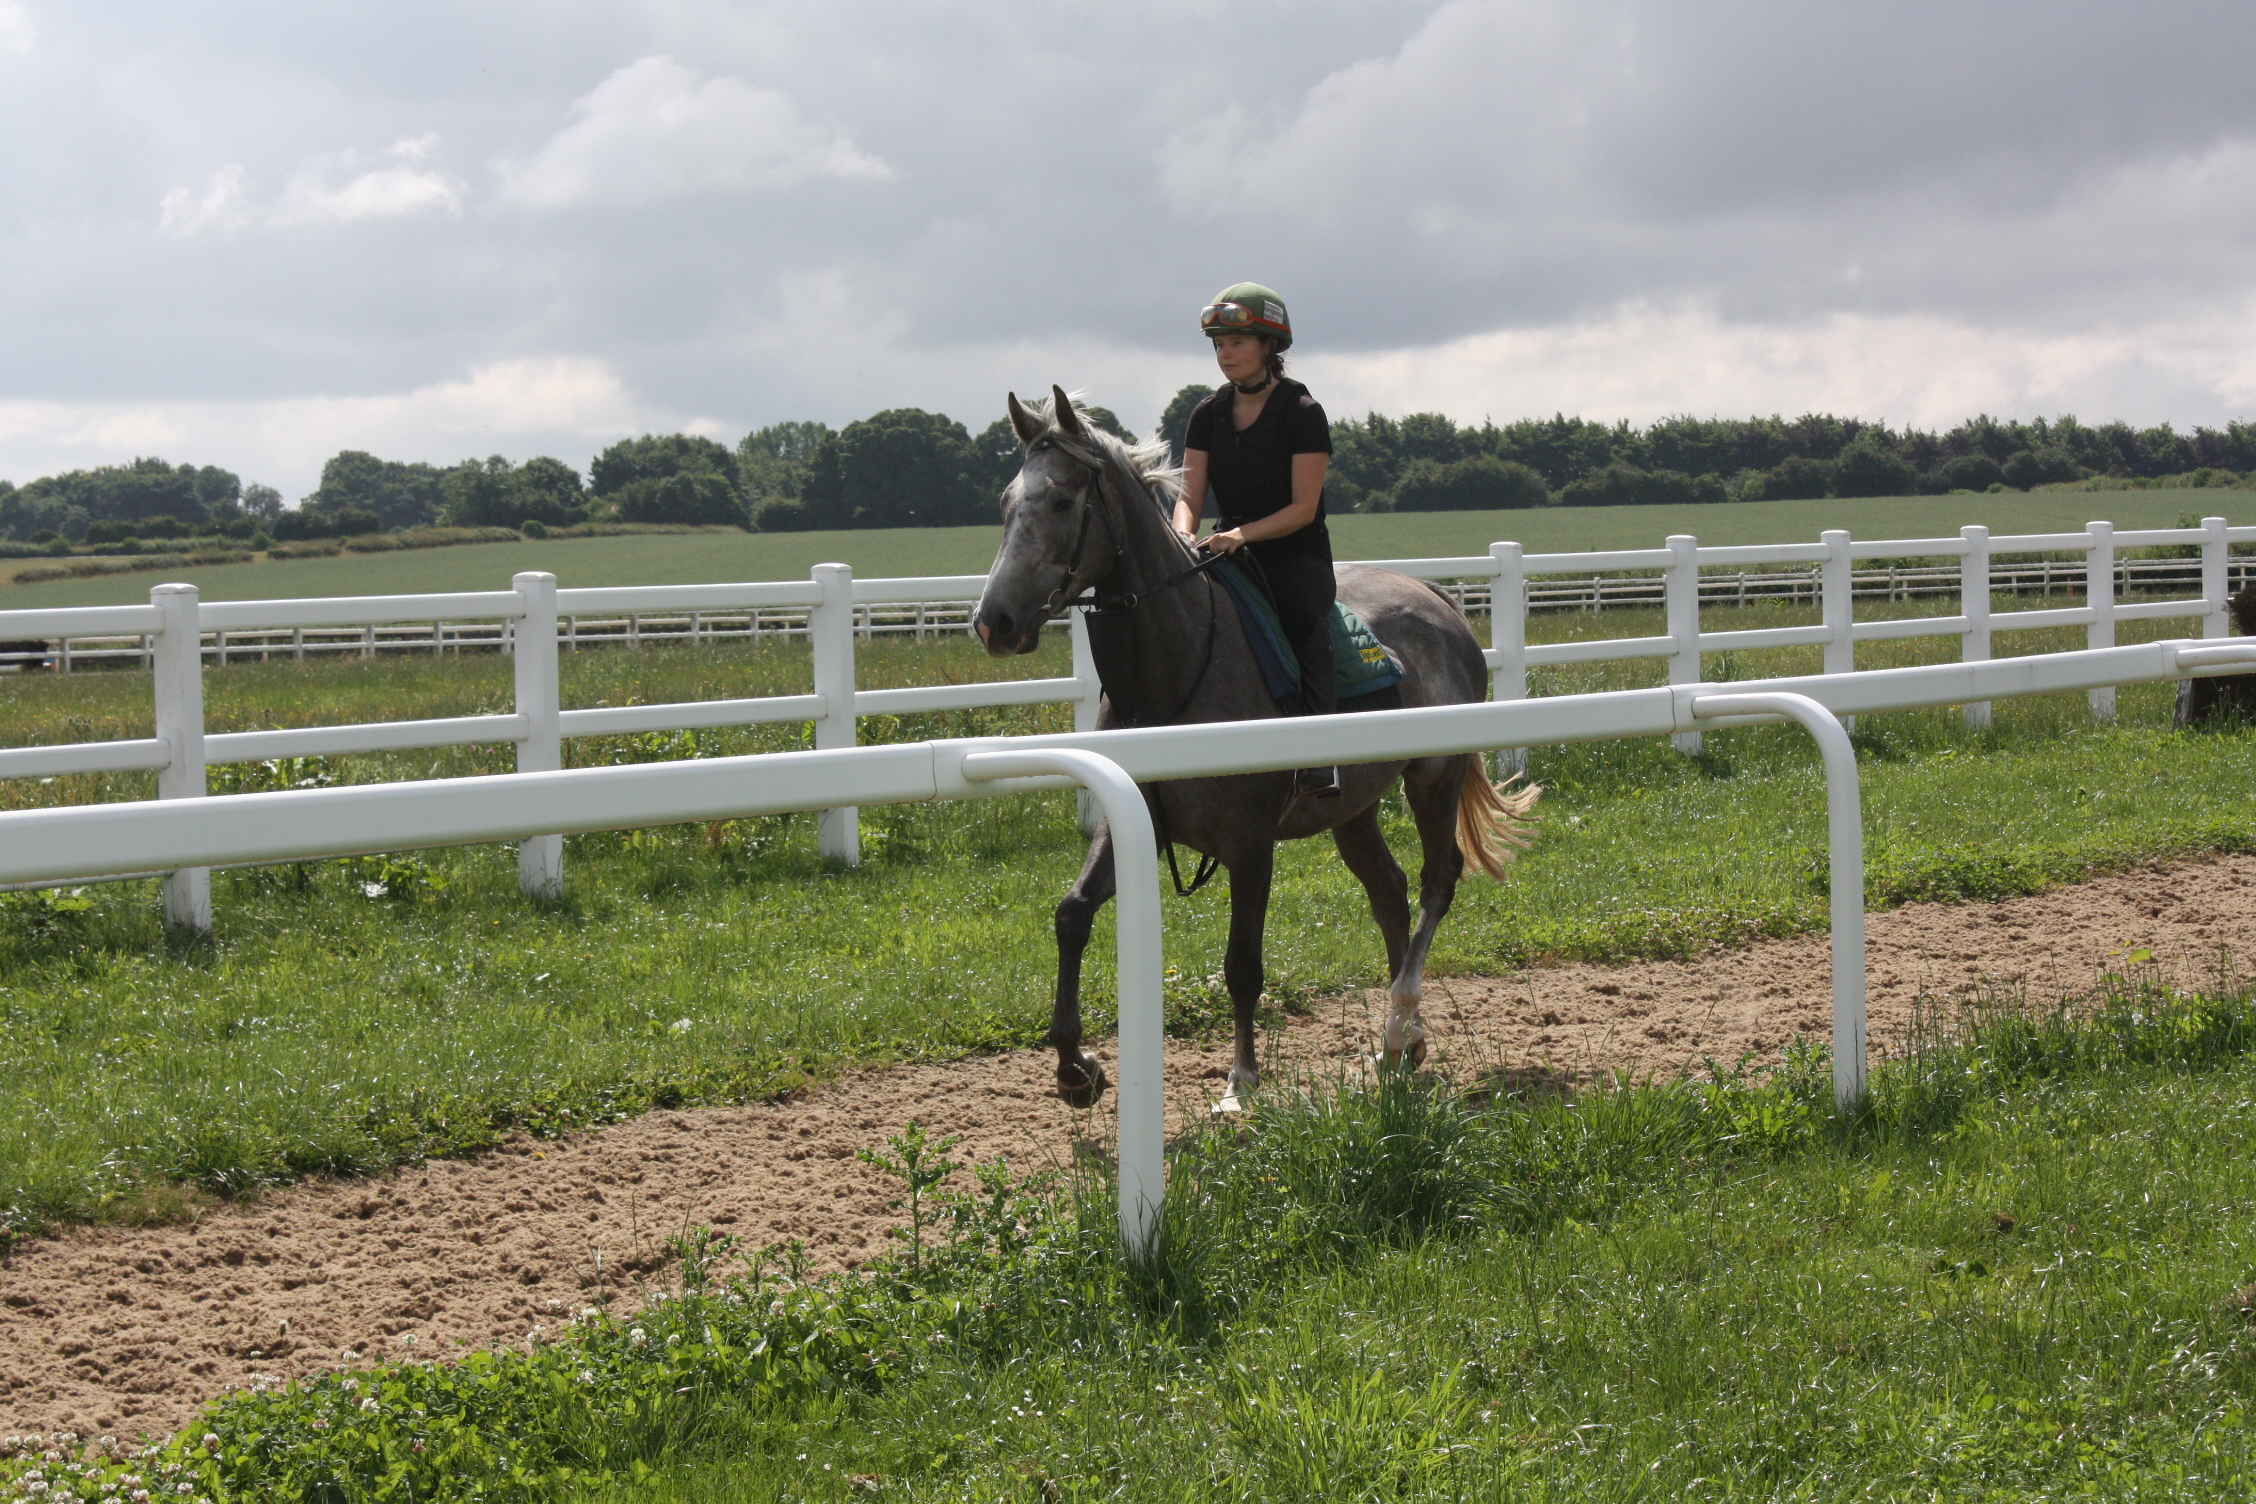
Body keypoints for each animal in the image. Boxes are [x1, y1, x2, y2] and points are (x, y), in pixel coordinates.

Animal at [970, 394, 1534, 1113]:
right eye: (1007, 502)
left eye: (1064, 502)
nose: (994, 622)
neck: (1175, 674)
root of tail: (1440, 602)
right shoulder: (1132, 824)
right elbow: (1071, 916)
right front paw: (1076, 1069)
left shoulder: (1250, 845)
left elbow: (1242, 965)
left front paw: (1241, 1080)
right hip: (1354, 809)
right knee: (1391, 891)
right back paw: (1402, 1044)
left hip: (1433, 779)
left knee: (1439, 880)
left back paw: (1400, 1016)